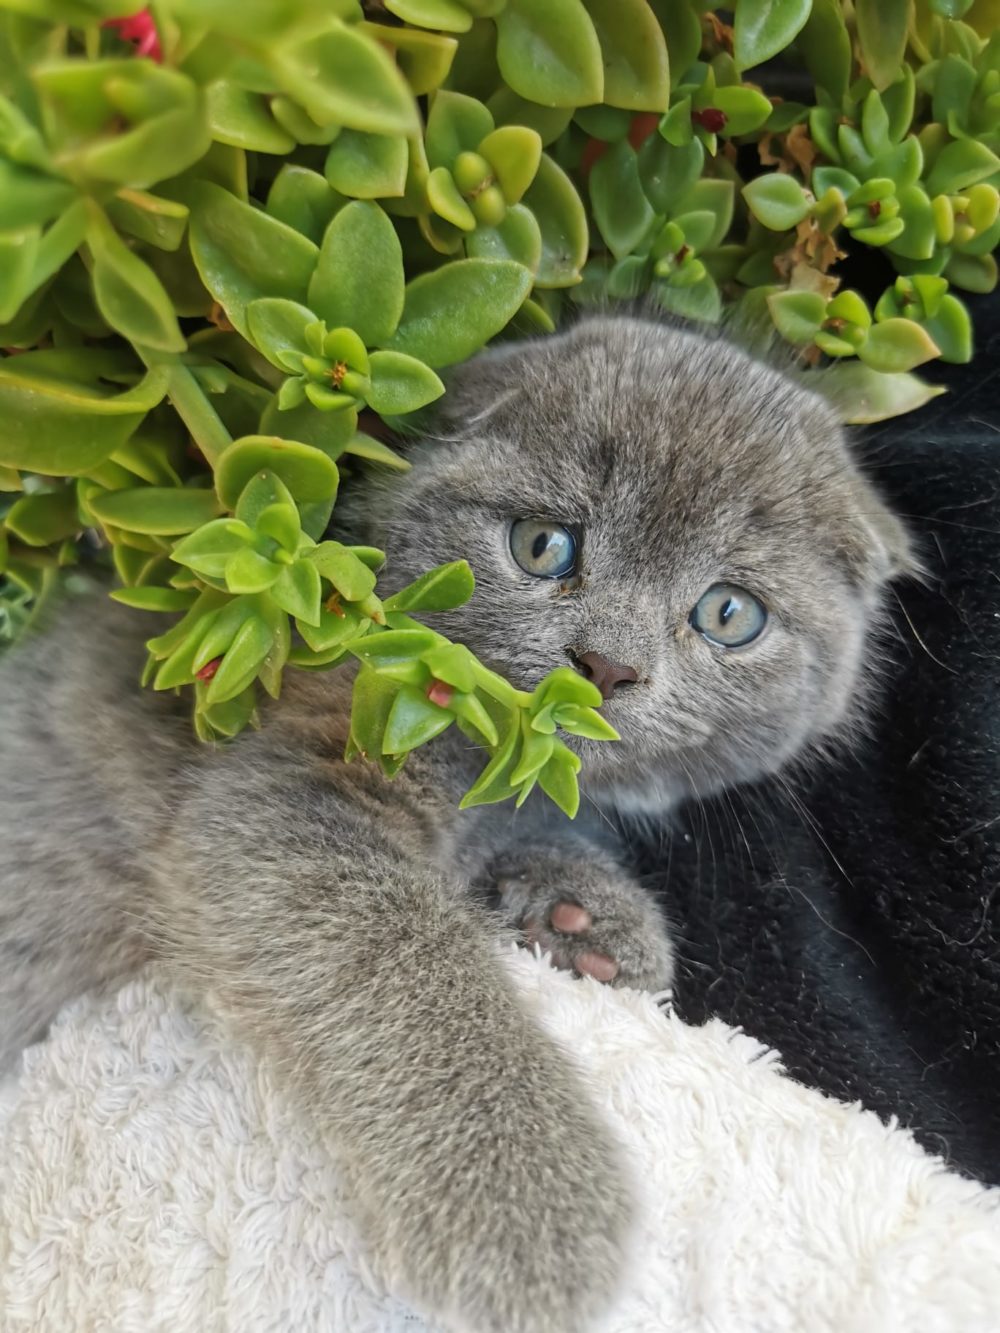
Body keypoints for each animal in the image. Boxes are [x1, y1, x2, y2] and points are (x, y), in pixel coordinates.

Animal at [0, 317, 906, 1327]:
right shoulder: (290, 786)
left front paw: (586, 913)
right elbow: (404, 959)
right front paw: (527, 1211)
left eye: (728, 613)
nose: (607, 663)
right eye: (544, 545)